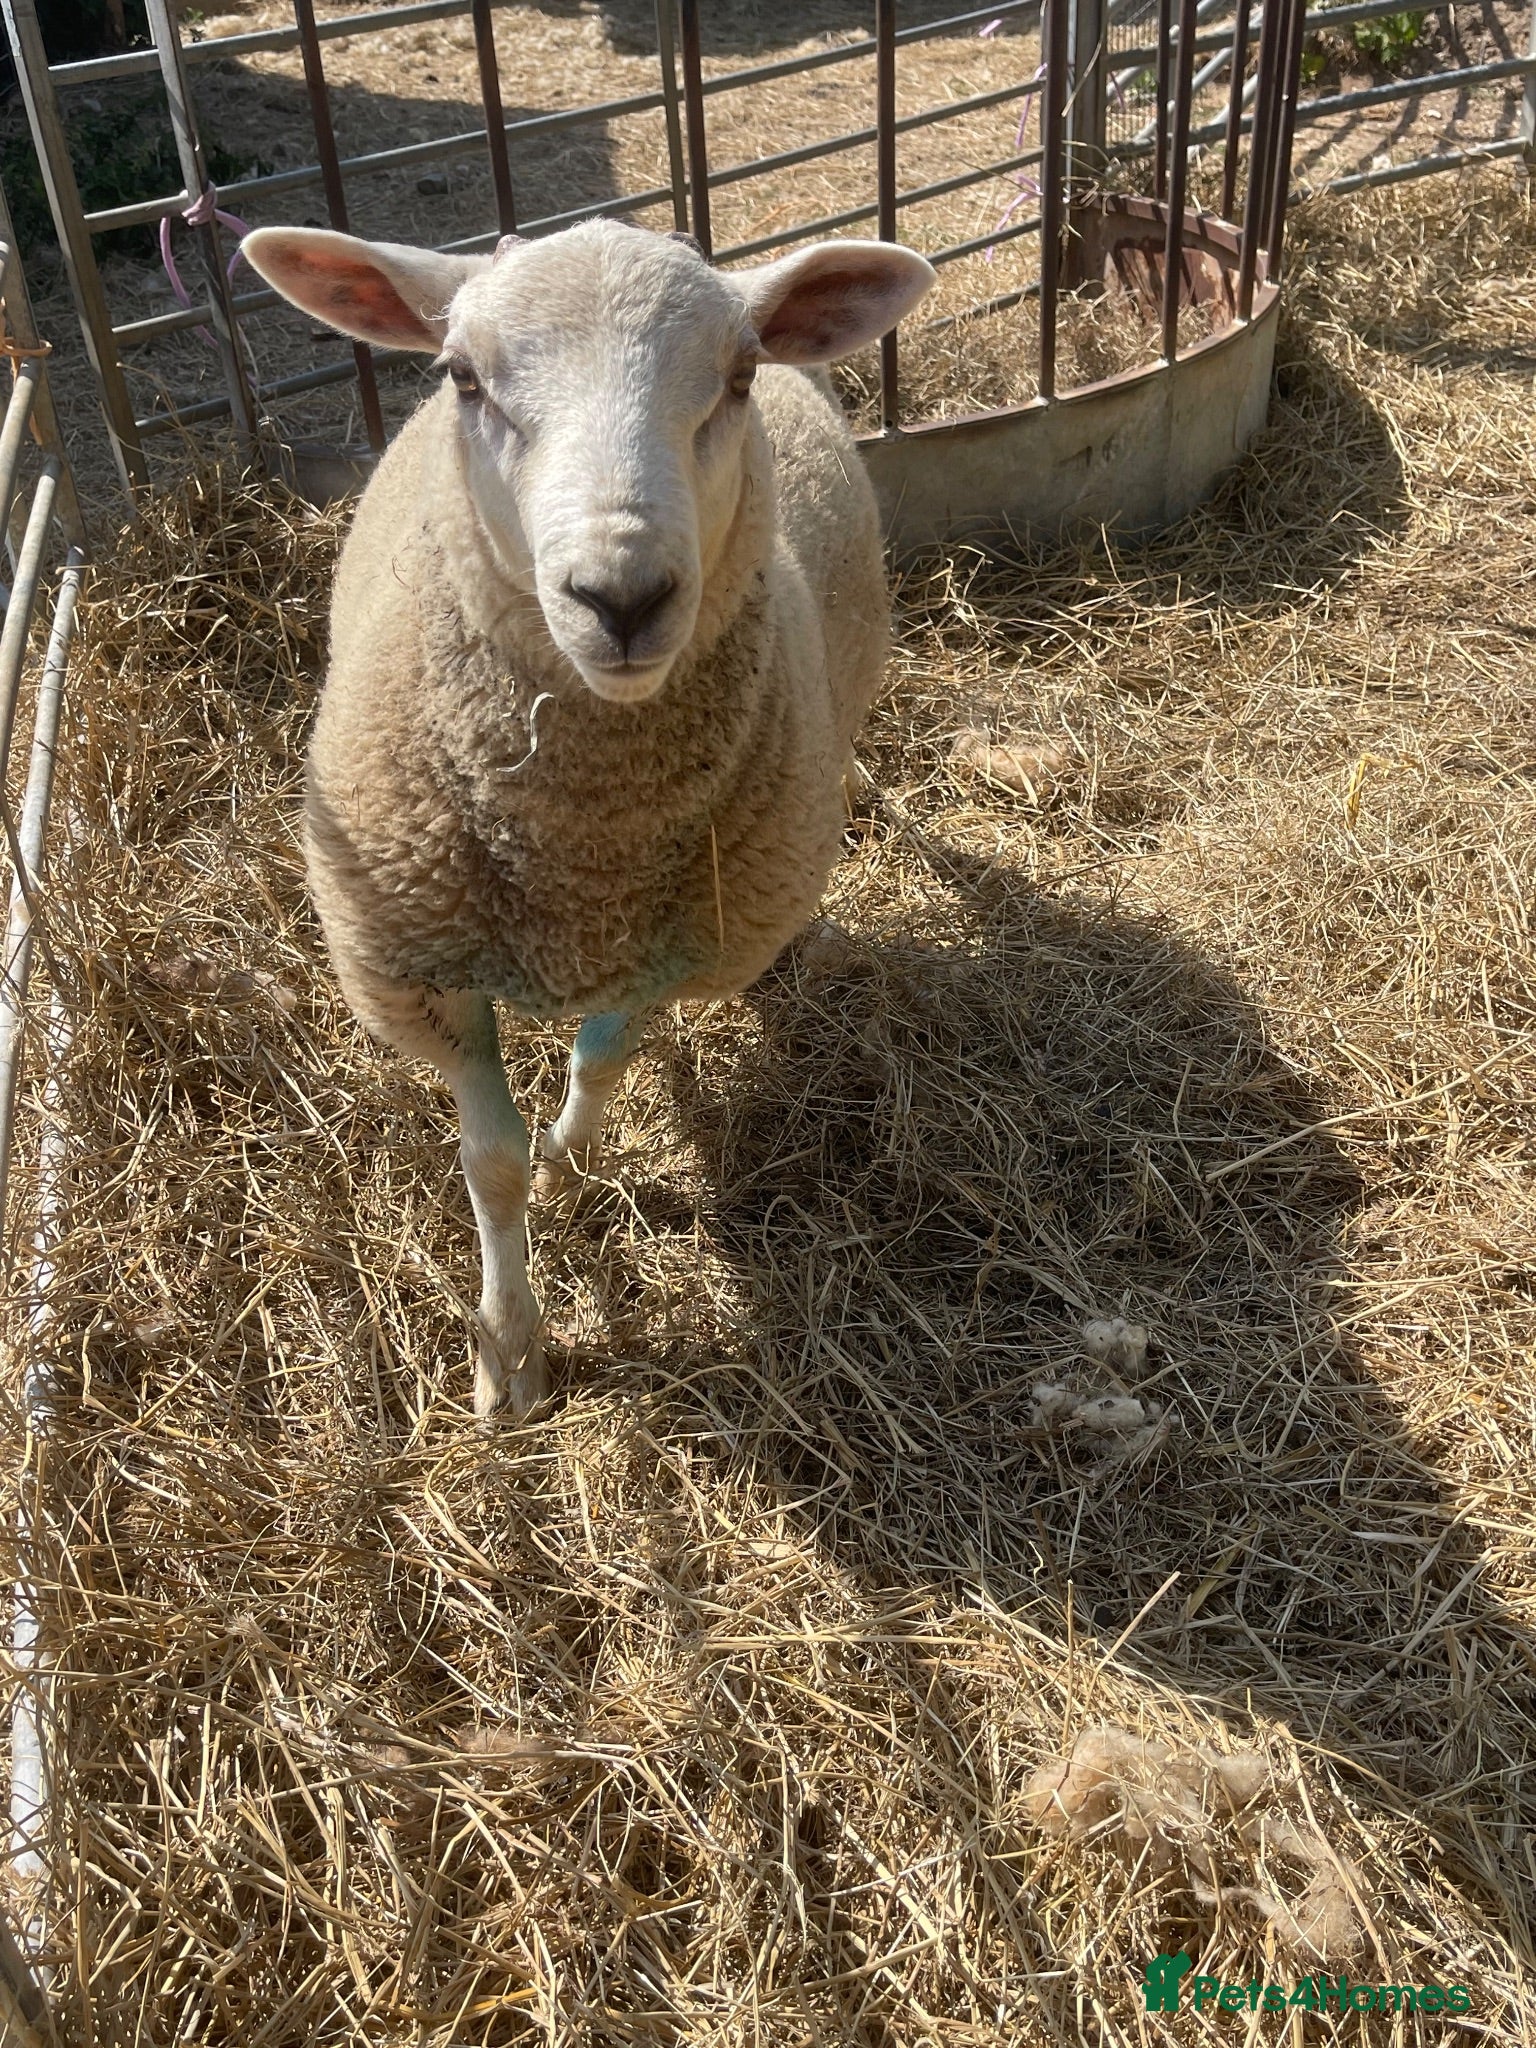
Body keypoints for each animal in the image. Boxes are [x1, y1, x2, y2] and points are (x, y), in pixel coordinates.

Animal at [241, 217, 935, 1420]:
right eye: (463, 377)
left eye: (738, 376)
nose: (622, 596)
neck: (582, 865)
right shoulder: (428, 973)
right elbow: (490, 1163)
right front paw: (509, 1352)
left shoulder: (674, 949)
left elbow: (600, 1067)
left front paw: (573, 1157)